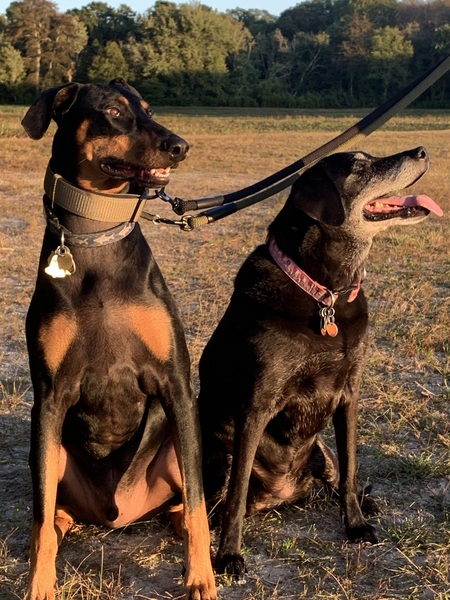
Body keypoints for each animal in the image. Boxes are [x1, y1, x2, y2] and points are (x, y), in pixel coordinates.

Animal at [22, 81, 217, 600]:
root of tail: (117, 514)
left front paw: (201, 578)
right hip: (47, 448)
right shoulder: (49, 398)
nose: (180, 146)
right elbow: (39, 515)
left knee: (187, 504)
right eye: (112, 111)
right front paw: (39, 585)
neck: (98, 237)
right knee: (51, 513)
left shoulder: (174, 384)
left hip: (178, 446)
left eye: (148, 109)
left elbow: (197, 504)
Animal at [198, 146, 442, 576]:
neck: (324, 293)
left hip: (320, 451)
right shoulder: (255, 408)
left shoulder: (349, 395)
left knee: (332, 480)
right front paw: (228, 555)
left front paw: (356, 525)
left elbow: (350, 471)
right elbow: (236, 493)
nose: (422, 150)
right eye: (359, 166)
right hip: (219, 452)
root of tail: (282, 495)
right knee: (223, 498)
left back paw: (364, 502)